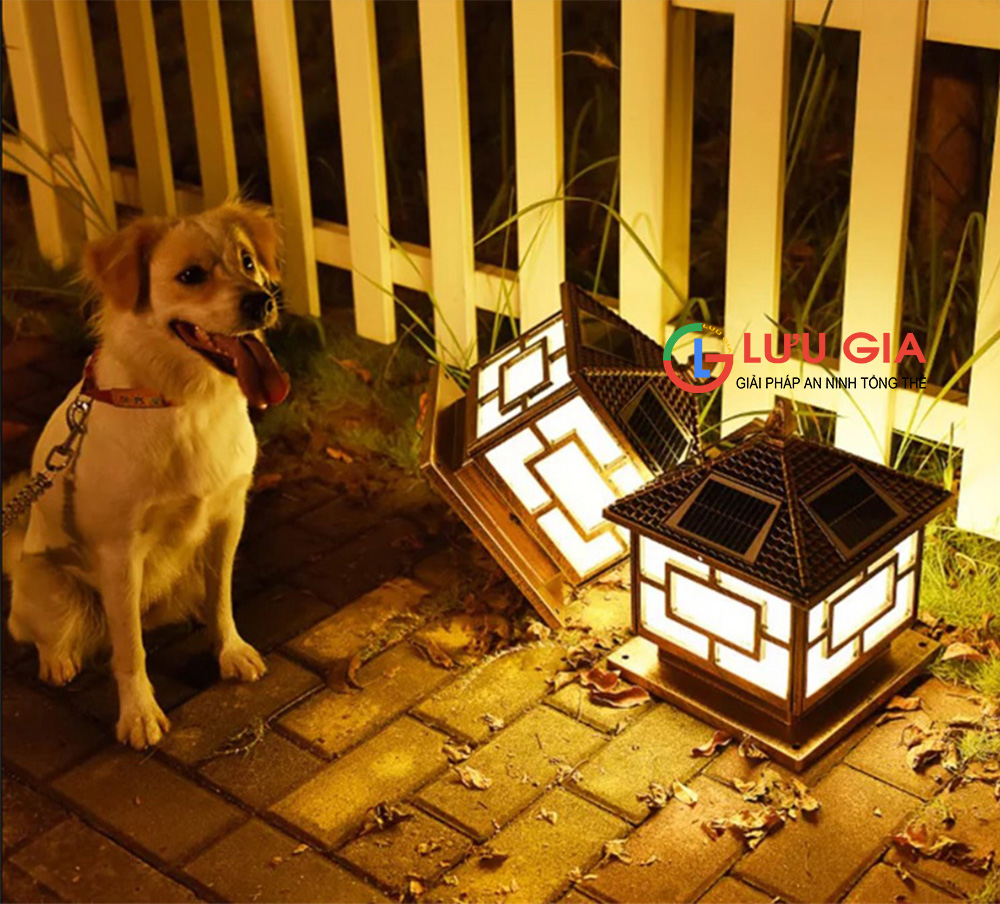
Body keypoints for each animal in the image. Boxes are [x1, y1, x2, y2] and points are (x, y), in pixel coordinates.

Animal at [2, 201, 290, 749]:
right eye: (191, 276)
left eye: (247, 261)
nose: (261, 301)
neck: (182, 400)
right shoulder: (120, 552)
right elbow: (129, 648)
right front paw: (139, 715)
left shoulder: (228, 517)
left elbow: (221, 599)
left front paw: (230, 650)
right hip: (52, 587)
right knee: (31, 630)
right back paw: (58, 660)